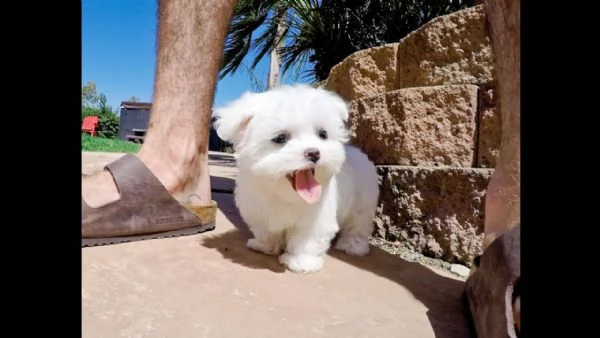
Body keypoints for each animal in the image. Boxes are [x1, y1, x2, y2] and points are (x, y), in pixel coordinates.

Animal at [213, 85, 378, 274]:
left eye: (323, 134)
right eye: (280, 138)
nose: (314, 152)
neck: (283, 194)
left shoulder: (315, 218)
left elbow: (308, 239)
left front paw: (301, 262)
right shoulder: (258, 209)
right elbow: (266, 230)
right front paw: (265, 245)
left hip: (363, 202)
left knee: (358, 225)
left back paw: (353, 245)